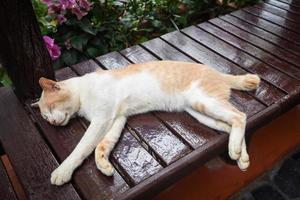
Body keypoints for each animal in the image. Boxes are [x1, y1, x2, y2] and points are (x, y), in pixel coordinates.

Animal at [31, 60, 260, 185]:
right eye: (45, 117)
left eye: (50, 109)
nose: (52, 122)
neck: (83, 91)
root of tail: (217, 73)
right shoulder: (116, 119)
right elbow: (102, 146)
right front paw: (104, 165)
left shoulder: (102, 119)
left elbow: (82, 148)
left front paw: (63, 171)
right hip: (200, 112)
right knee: (232, 124)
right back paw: (241, 157)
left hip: (203, 101)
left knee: (240, 116)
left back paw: (235, 150)